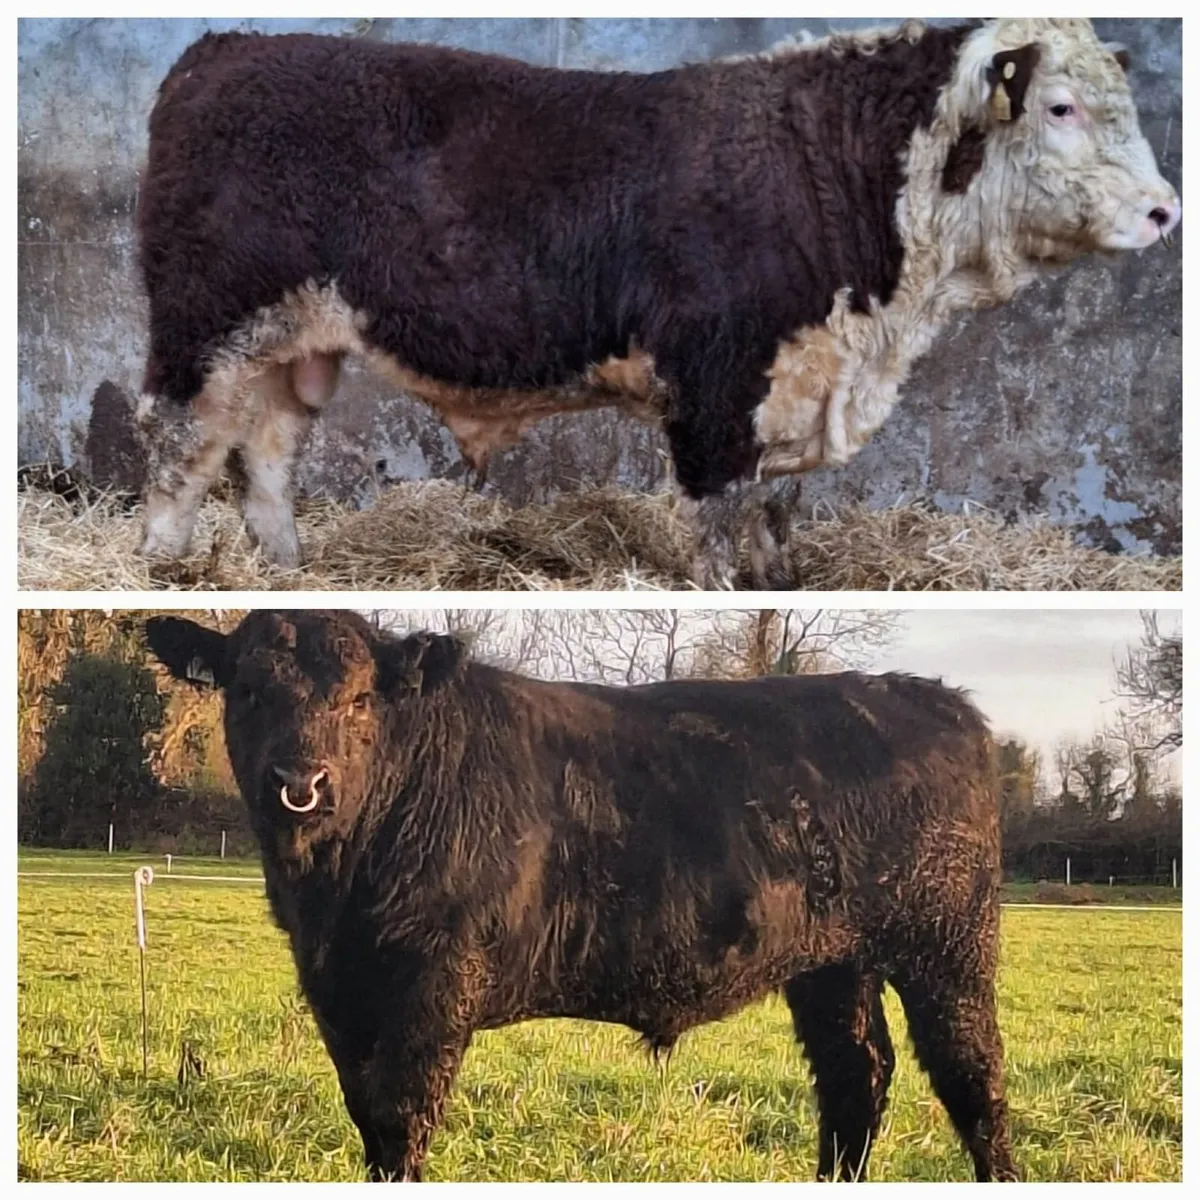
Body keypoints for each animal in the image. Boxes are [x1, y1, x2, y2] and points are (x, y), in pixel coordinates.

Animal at [130, 18, 1179, 589]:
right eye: (1060, 108)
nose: (1165, 209)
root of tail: (221, 50)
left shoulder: (784, 387)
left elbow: (768, 516)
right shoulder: (716, 383)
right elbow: (718, 526)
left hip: (288, 345)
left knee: (263, 457)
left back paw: (285, 572)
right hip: (202, 327)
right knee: (182, 450)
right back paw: (158, 567)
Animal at [145, 609, 1016, 1182]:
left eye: (360, 699)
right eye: (246, 691)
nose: (301, 781)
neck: (330, 895)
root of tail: (938, 699)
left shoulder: (435, 980)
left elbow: (400, 1118)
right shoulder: (337, 992)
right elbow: (368, 1116)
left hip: (947, 945)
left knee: (972, 1077)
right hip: (833, 962)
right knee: (854, 1077)